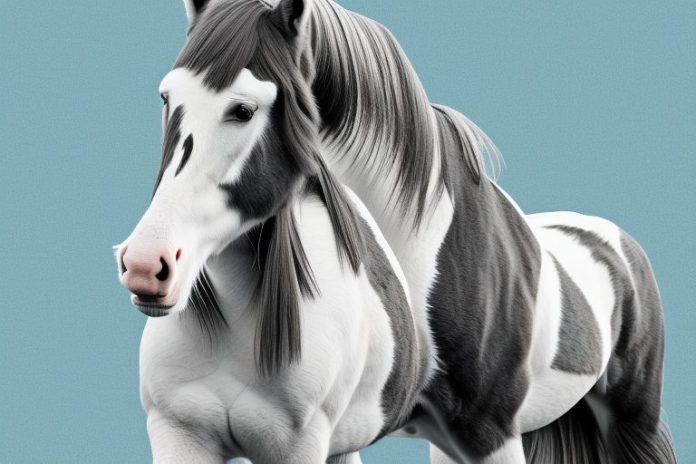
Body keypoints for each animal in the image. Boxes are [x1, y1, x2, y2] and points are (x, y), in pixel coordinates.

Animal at [117, 0, 678, 462]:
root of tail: (617, 242)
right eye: (167, 97)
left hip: (631, 421)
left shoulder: (489, 434)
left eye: (242, 108)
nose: (146, 263)